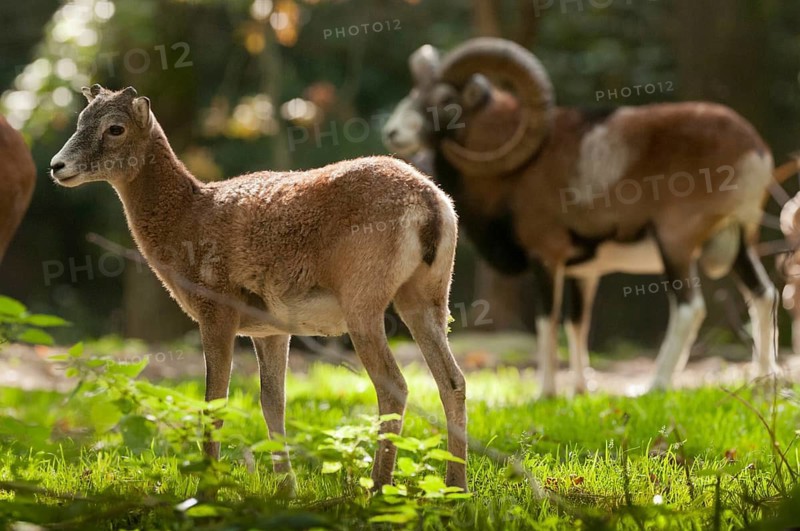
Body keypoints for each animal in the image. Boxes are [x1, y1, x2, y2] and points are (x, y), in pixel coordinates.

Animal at [49, 84, 468, 493]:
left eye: (115, 128)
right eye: (81, 119)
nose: (57, 166)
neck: (187, 219)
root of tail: (432, 204)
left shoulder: (217, 309)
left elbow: (215, 402)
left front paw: (205, 489)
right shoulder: (271, 329)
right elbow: (272, 402)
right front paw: (285, 490)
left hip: (363, 299)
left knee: (395, 385)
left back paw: (379, 489)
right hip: (428, 295)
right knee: (453, 380)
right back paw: (455, 488)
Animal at [383, 37, 783, 396]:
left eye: (443, 100)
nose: (392, 132)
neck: (520, 171)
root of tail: (754, 150)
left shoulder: (547, 258)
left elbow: (547, 323)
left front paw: (545, 394)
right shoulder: (583, 273)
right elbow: (577, 325)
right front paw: (580, 389)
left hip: (676, 244)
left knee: (689, 308)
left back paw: (653, 385)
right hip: (739, 243)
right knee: (763, 294)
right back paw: (763, 382)